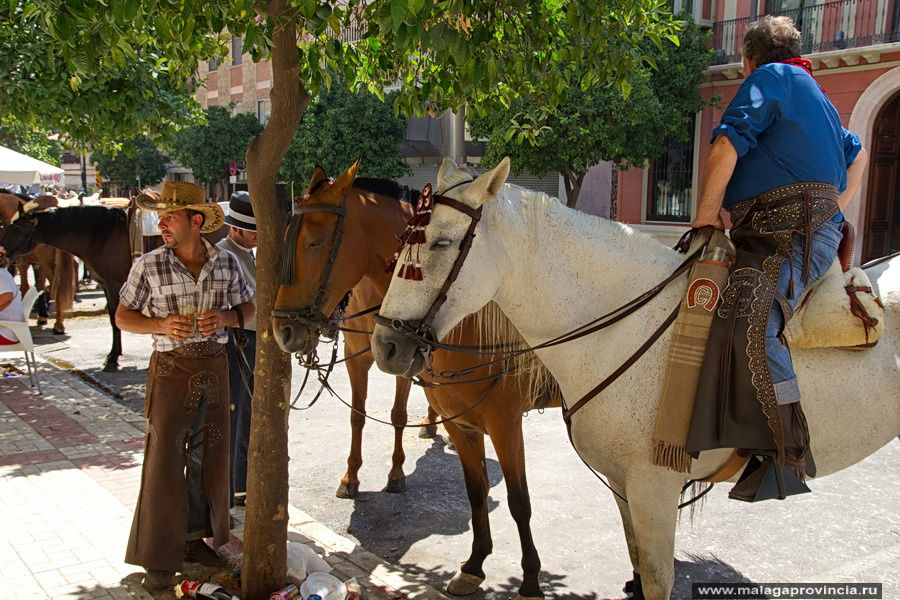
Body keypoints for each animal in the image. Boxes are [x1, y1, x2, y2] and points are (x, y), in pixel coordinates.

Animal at [0, 204, 130, 370]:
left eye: (17, 232)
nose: (1, 255)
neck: (101, 236)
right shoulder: (106, 286)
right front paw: (114, 355)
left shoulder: (113, 285)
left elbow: (114, 320)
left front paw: (112, 358)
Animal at [270, 161, 560, 600]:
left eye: (316, 241)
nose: (283, 330)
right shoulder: (461, 422)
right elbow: (475, 492)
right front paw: (473, 567)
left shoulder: (505, 425)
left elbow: (518, 501)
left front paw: (528, 581)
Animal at [372, 157, 900, 596]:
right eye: (401, 242)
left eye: (442, 242)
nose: (386, 345)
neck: (625, 327)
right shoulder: (622, 488)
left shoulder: (652, 490)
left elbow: (651, 574)